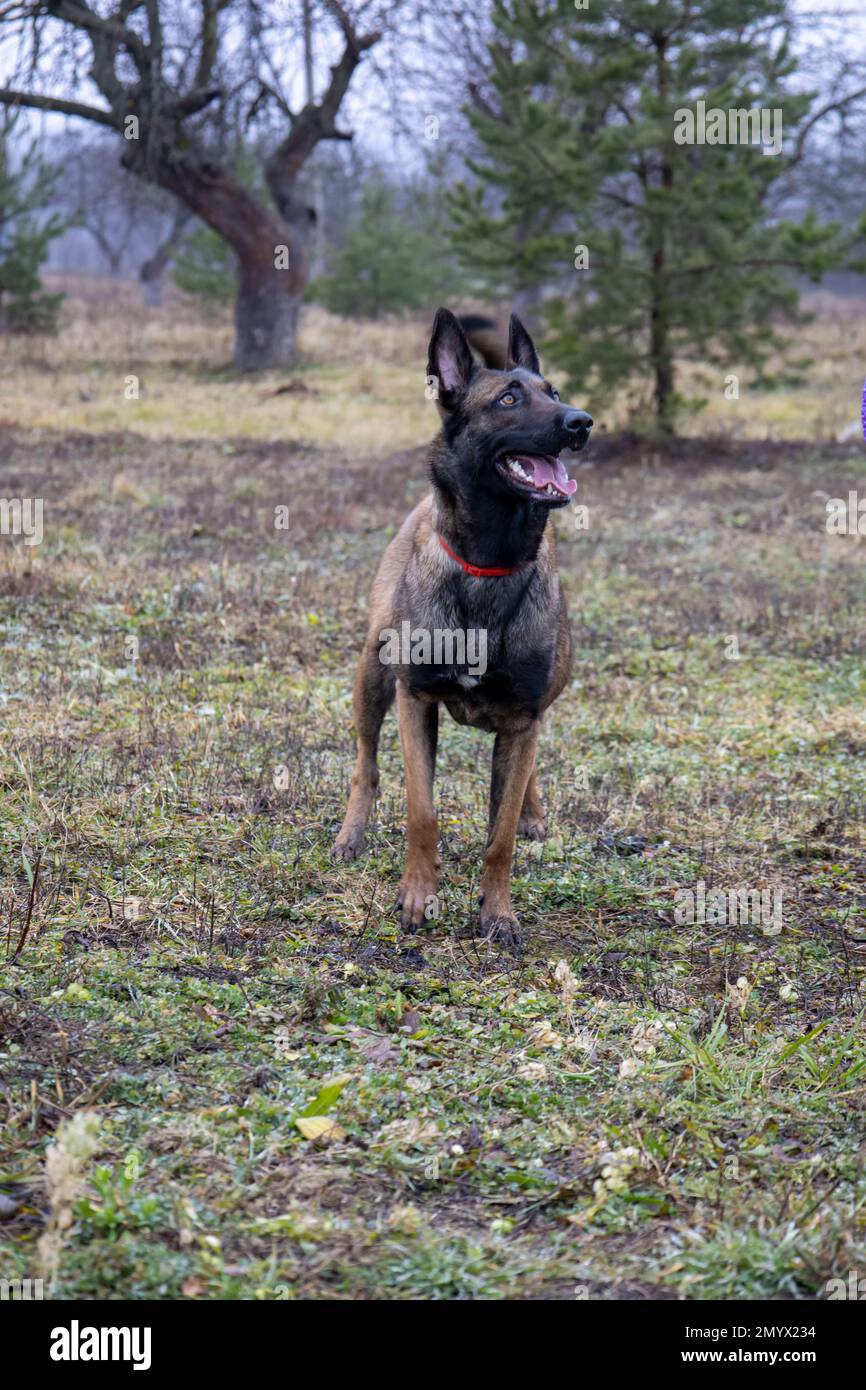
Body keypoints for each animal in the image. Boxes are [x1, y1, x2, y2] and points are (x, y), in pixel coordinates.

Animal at [335, 309, 592, 945]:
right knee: (365, 765)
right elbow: (421, 811)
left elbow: (499, 837)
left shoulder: (523, 719)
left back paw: (533, 814)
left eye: (555, 393)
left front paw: (497, 913)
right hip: (371, 675)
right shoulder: (415, 700)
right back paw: (351, 833)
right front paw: (417, 897)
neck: (488, 563)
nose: (581, 422)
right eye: (508, 399)